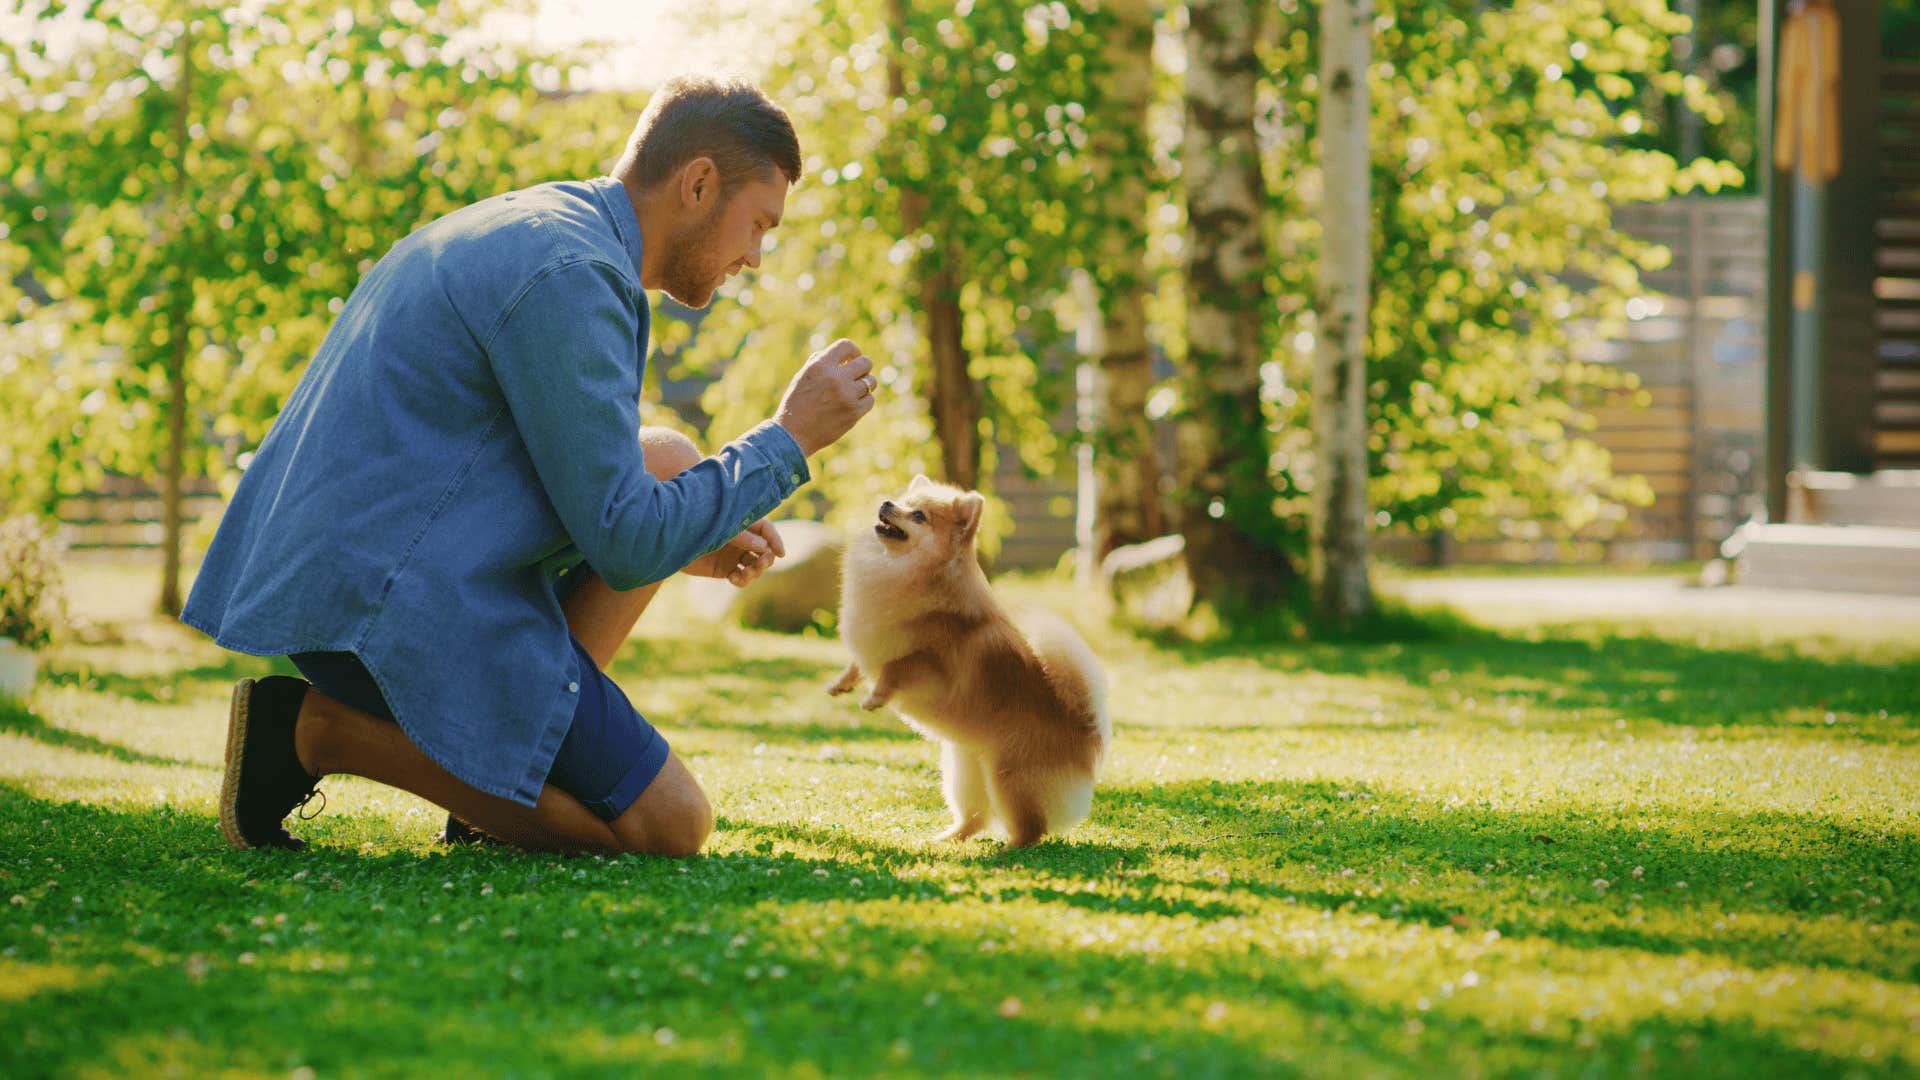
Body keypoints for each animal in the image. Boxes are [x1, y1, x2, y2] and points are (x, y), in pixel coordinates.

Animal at [825, 474, 1113, 845]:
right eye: (904, 501)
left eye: (918, 515)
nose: (887, 503)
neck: (903, 571)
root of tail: (1085, 727)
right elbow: (859, 662)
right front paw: (841, 683)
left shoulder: (934, 665)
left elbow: (897, 666)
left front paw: (875, 697)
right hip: (964, 767)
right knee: (977, 816)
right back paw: (947, 839)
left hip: (1009, 777)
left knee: (1031, 828)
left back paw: (1008, 851)